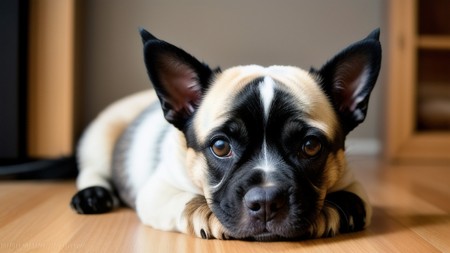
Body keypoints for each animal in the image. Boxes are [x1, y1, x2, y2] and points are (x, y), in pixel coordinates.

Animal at [70, 28, 380, 241]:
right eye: (220, 146)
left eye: (311, 146)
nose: (266, 201)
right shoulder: (158, 191)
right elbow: (189, 201)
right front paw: (206, 215)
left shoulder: (354, 185)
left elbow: (350, 201)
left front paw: (329, 213)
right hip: (102, 136)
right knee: (92, 170)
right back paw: (93, 195)